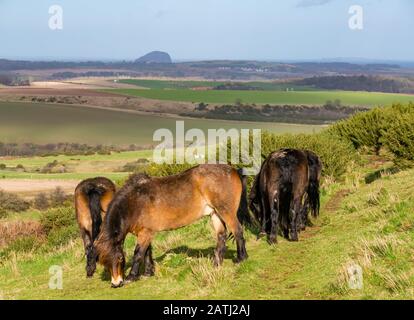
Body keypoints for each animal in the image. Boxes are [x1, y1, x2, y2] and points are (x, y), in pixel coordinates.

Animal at [94, 165, 249, 288]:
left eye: (120, 258)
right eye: (105, 263)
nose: (116, 283)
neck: (135, 202)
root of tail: (233, 170)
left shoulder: (145, 233)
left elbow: (138, 254)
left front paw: (131, 277)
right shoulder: (146, 232)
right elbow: (147, 252)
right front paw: (148, 273)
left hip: (226, 211)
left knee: (238, 231)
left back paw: (241, 258)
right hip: (215, 213)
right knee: (221, 236)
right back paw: (216, 263)